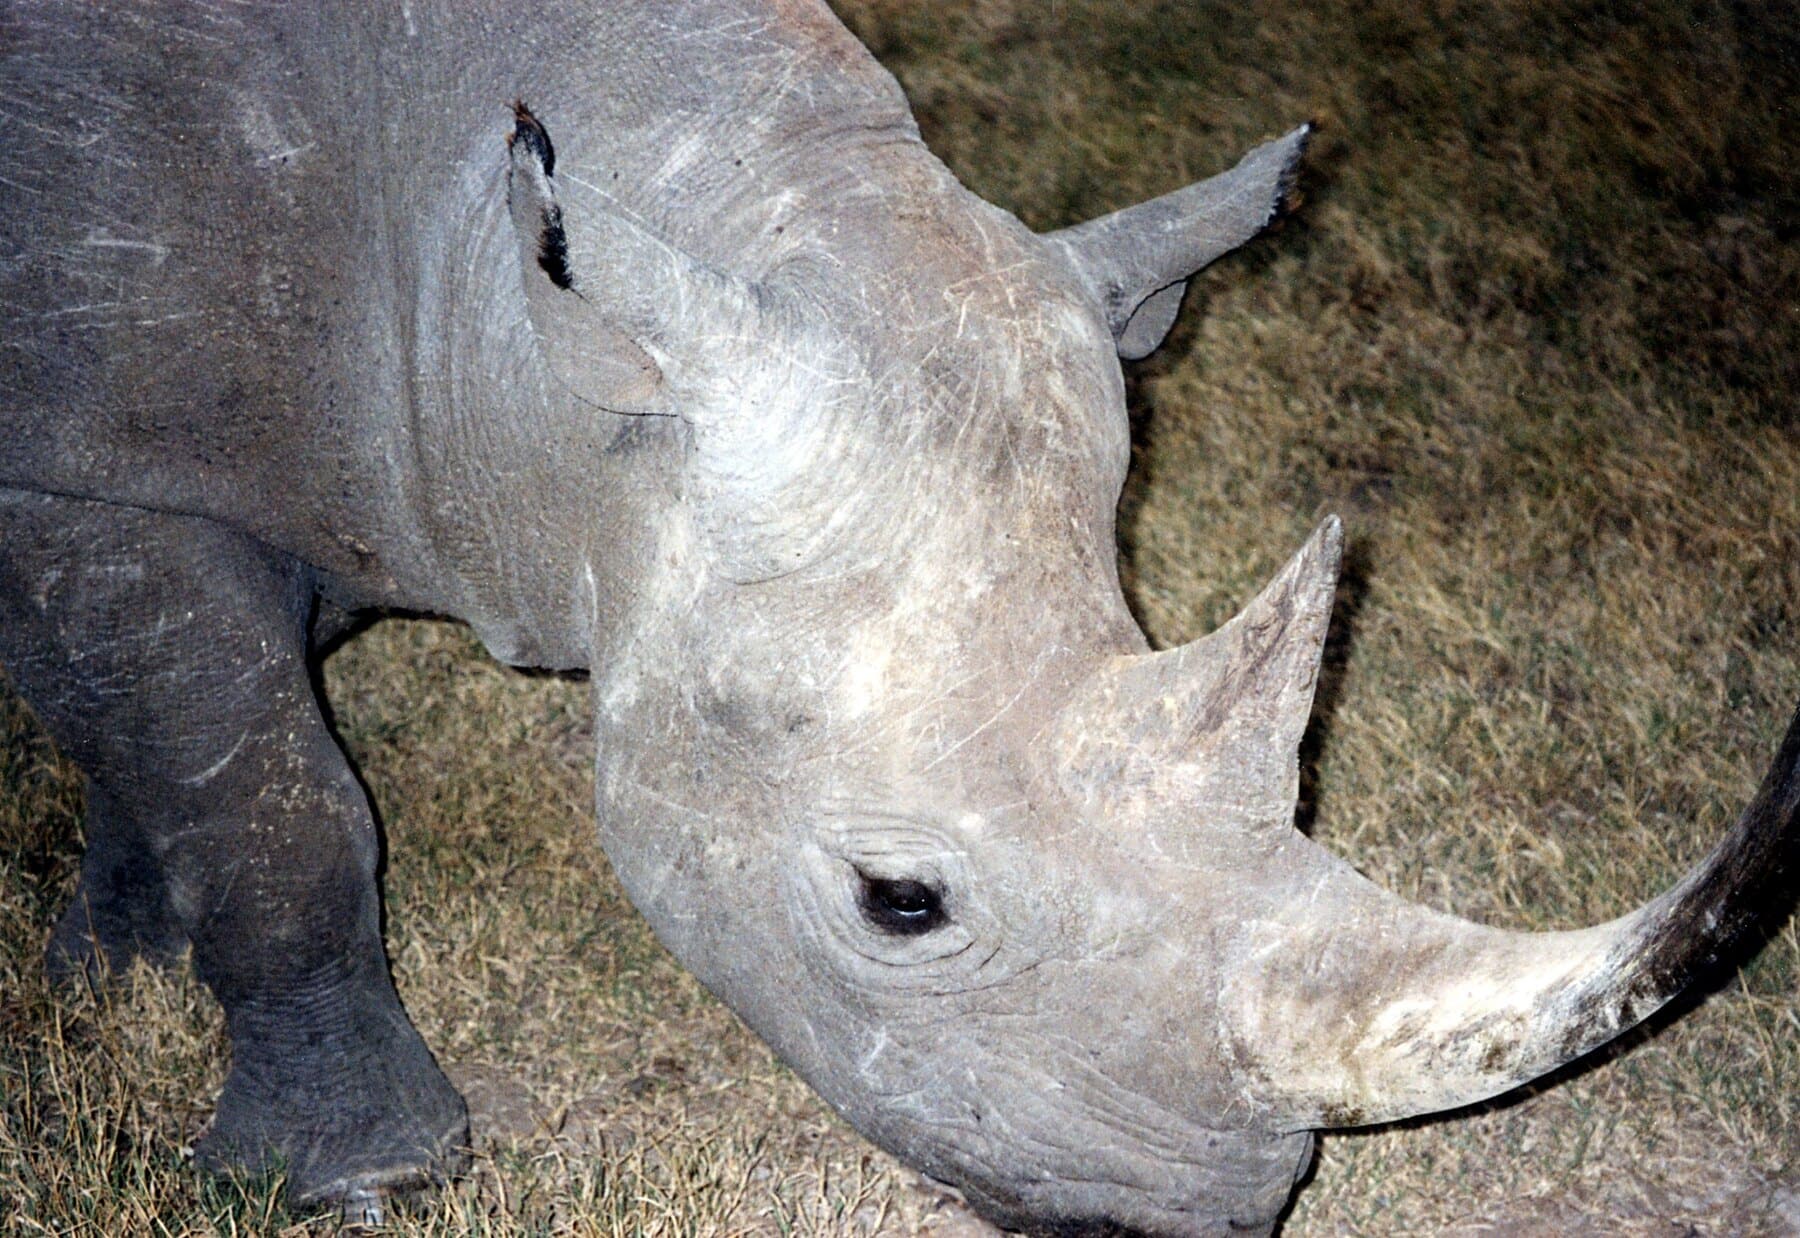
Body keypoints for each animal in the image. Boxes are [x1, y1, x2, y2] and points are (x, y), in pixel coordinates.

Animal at [1, 2, 1794, 1234]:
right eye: (901, 903)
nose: (1214, 1211)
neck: (534, 369)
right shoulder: (92, 459)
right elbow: (275, 790)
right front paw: (353, 1172)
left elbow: (182, 730)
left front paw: (110, 959)